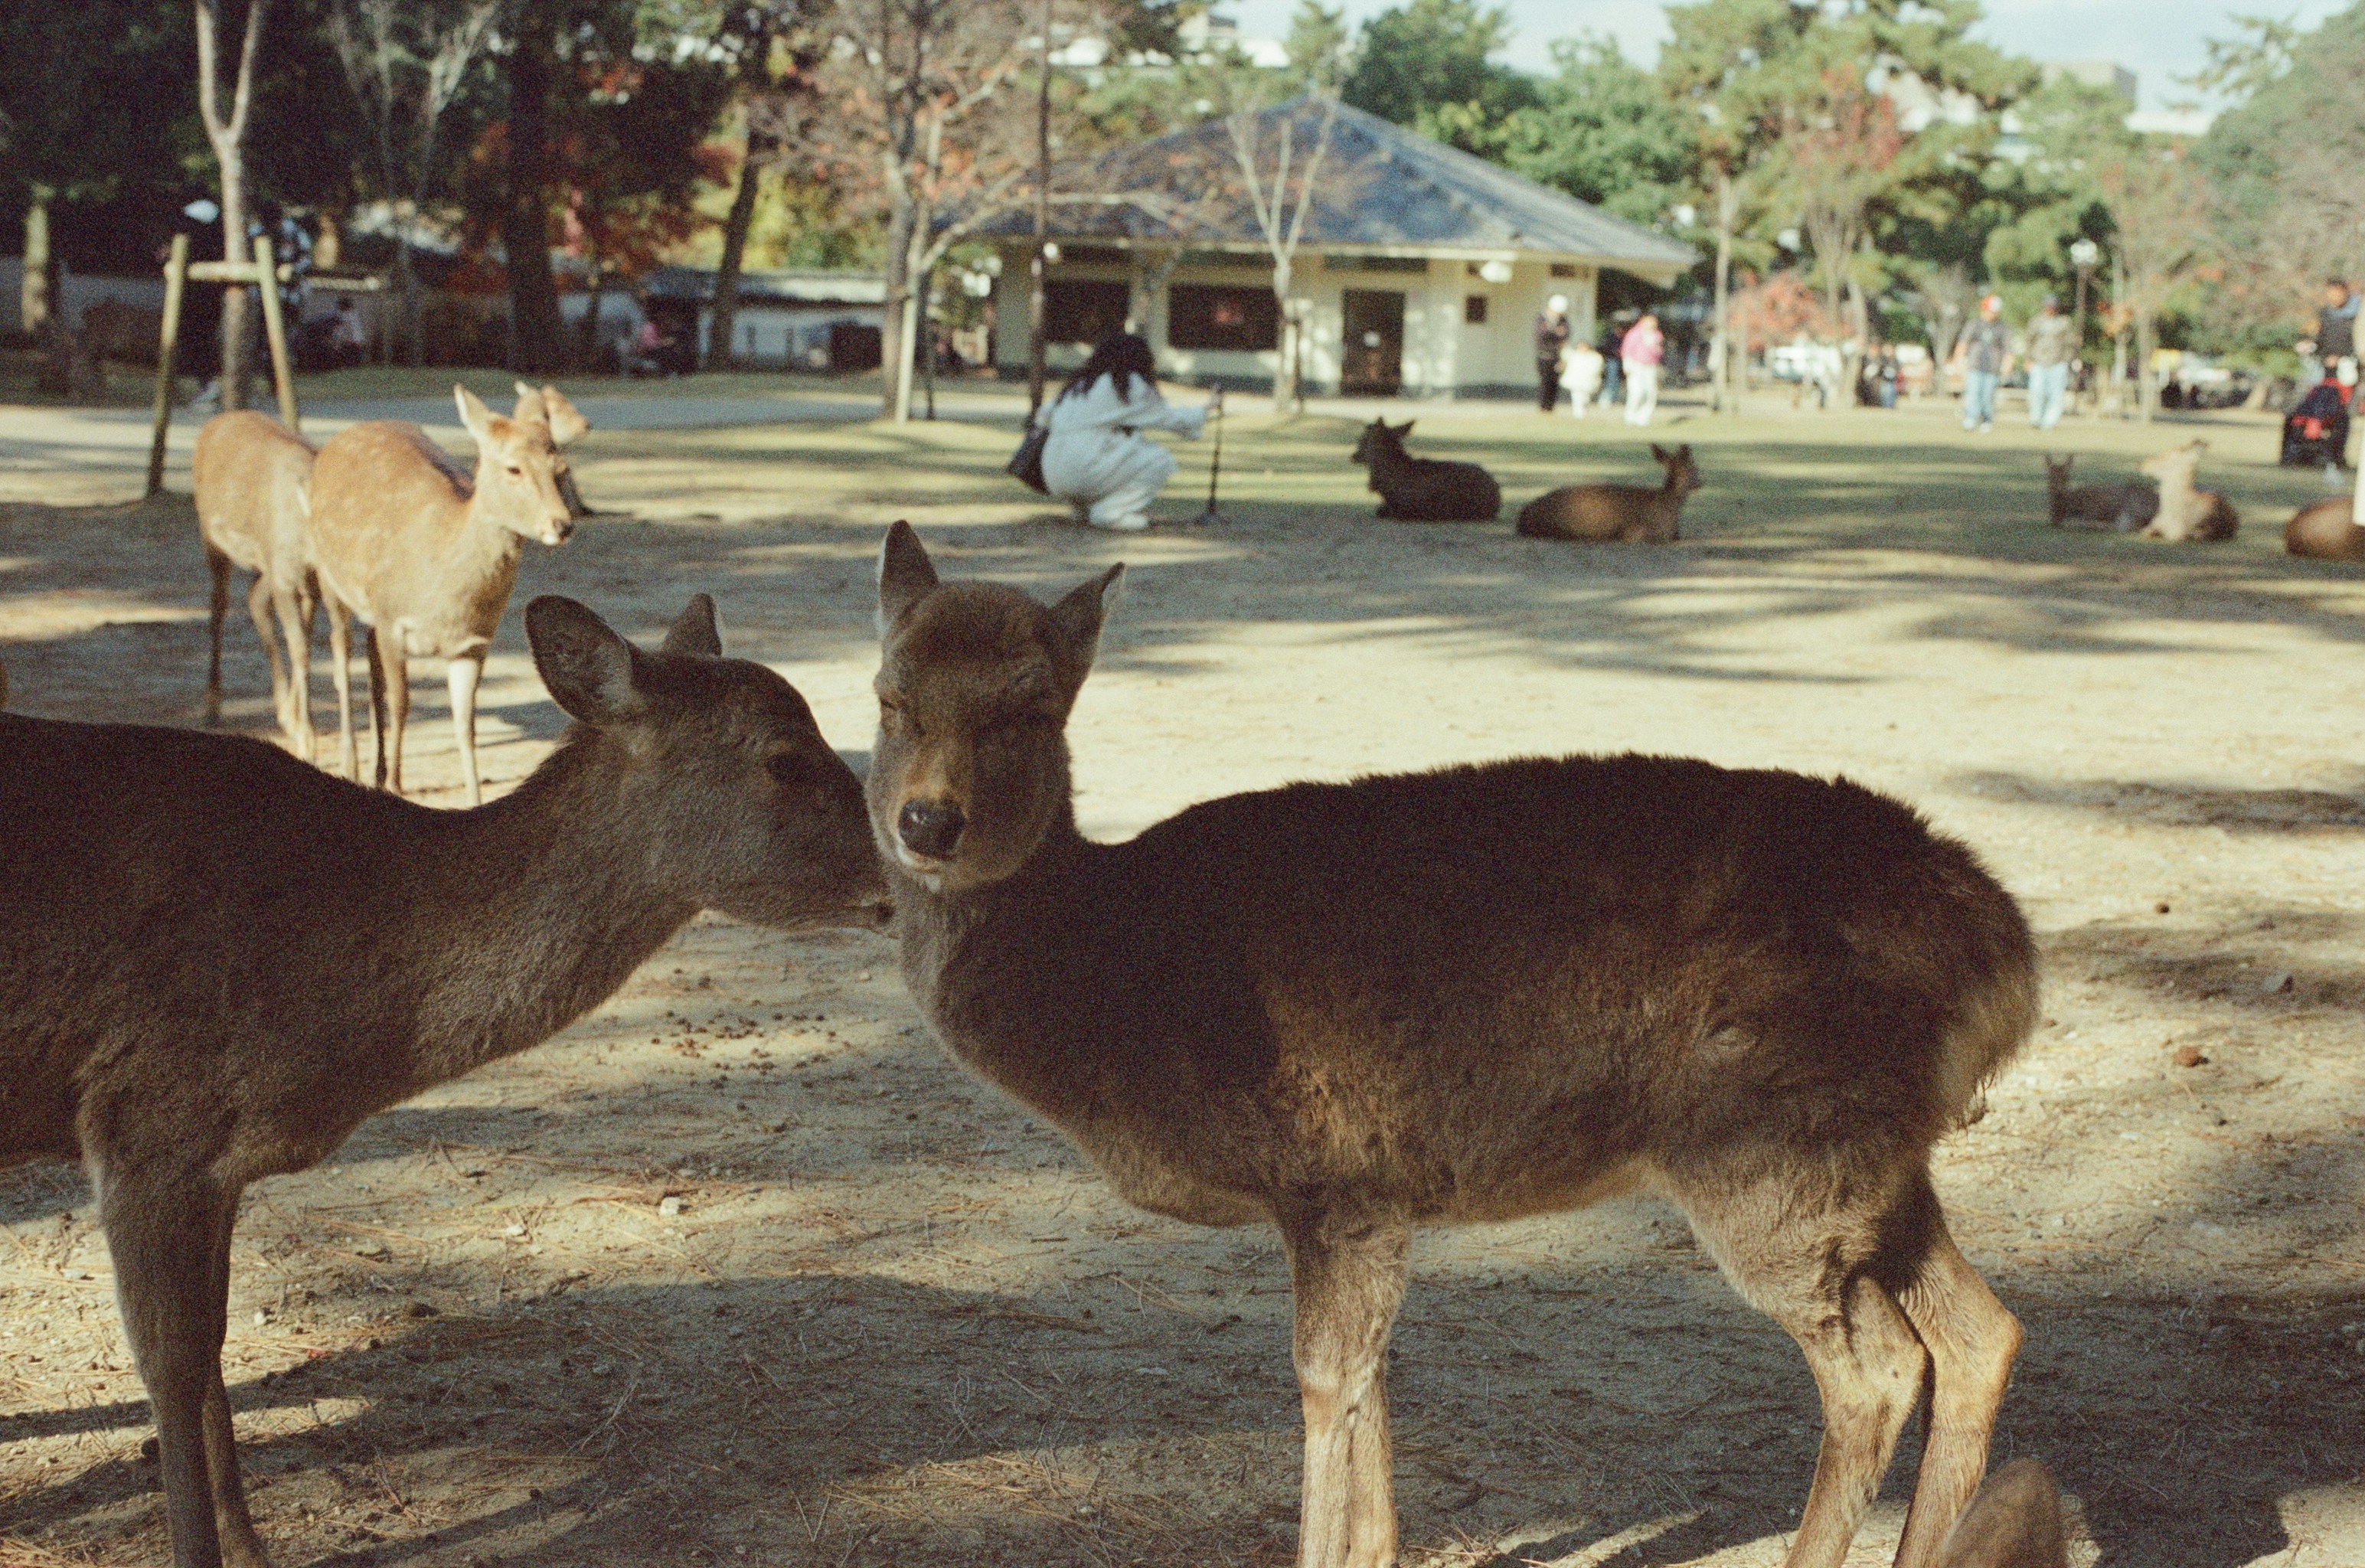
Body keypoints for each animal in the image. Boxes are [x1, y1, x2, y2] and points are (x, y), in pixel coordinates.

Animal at [0, 593, 888, 1568]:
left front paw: (253, 1545)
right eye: (785, 756)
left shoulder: (215, 1161)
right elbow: (170, 1360)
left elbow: (215, 1343)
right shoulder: (142, 1120)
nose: (908, 861)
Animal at [193, 411, 321, 758]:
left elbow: (303, 645)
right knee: (218, 608)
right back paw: (212, 703)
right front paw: (307, 738)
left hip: (263, 563)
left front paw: (294, 720)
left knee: (254, 600)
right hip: (213, 540)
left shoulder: (308, 587)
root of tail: (215, 422)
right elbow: (300, 648)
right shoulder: (286, 578)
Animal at [306, 385, 579, 806]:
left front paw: (473, 799)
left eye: (561, 468)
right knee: (341, 655)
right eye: (513, 468)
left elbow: (465, 723)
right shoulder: (393, 619)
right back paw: (352, 765)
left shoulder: (473, 644)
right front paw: (397, 787)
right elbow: (402, 704)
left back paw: (376, 771)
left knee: (369, 662)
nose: (562, 525)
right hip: (328, 573)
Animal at [866, 520, 2039, 1568]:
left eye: (1032, 707)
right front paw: (1380, 1546)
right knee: (1982, 1331)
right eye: (887, 696)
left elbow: (1321, 1380)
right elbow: (1371, 1376)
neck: (1115, 982)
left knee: (1880, 1370)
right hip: (1876, 1165)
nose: (927, 823)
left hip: (1772, 1156)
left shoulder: (1327, 1177)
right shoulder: (1375, 1199)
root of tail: (2005, 952)